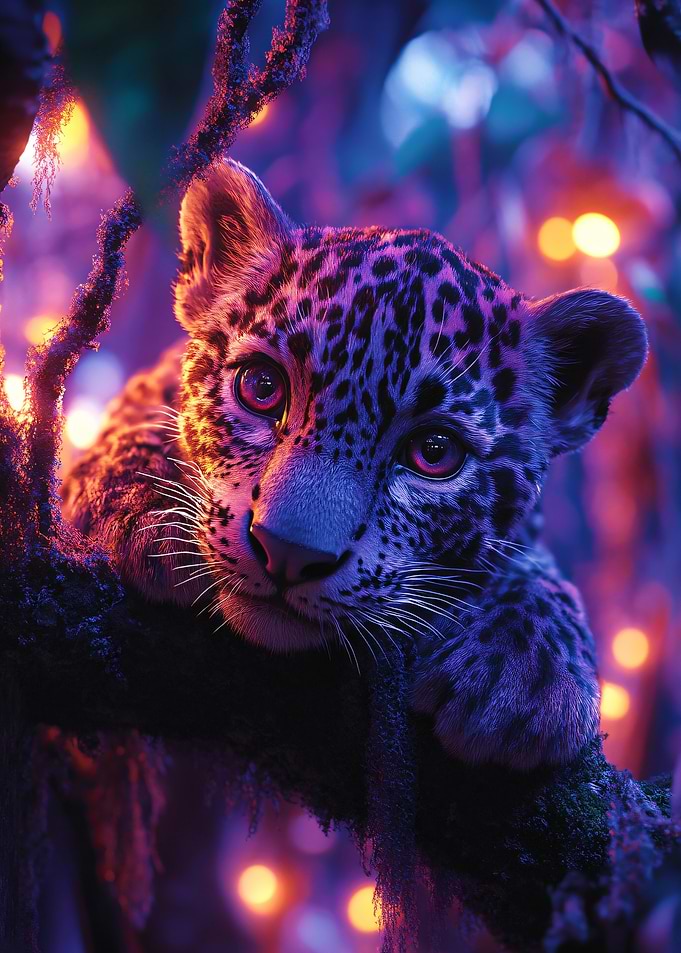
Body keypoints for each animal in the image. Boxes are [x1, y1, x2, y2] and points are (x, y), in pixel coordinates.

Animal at [62, 159, 647, 771]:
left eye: (434, 453)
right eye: (262, 388)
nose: (289, 553)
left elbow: (536, 567)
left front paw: (523, 675)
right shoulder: (149, 383)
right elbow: (128, 431)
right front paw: (144, 516)